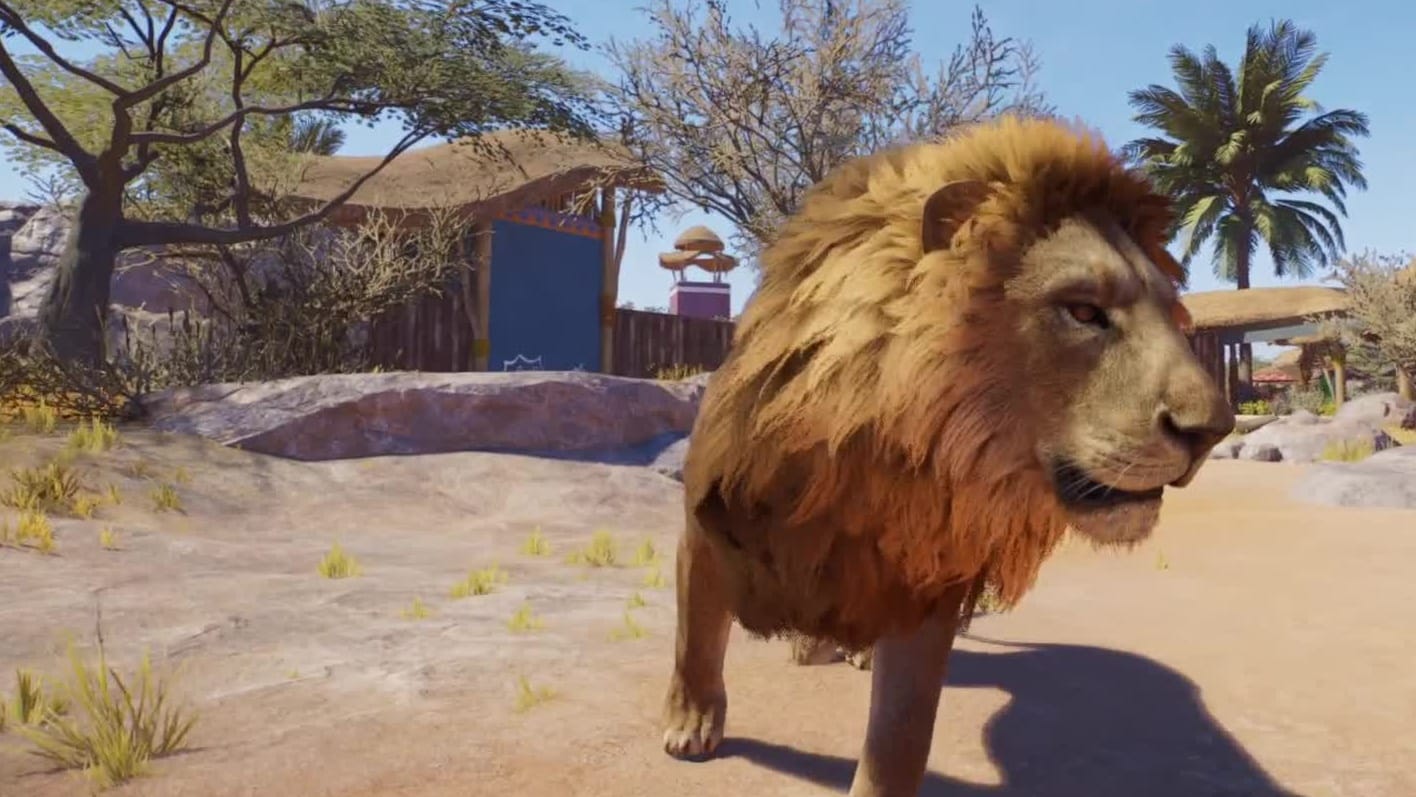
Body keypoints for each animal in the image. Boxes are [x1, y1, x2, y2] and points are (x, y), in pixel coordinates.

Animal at [658, 116, 1235, 797]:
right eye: (1083, 310)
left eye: (1174, 315)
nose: (1215, 430)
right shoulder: (705, 528)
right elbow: (696, 634)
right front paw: (690, 722)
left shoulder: (924, 581)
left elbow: (901, 733)